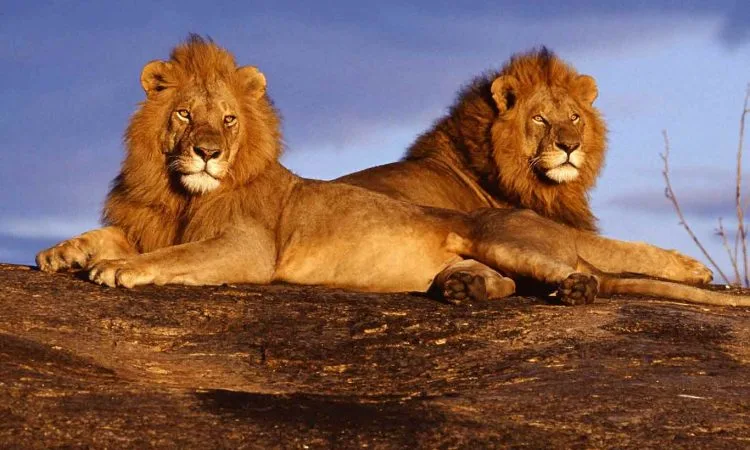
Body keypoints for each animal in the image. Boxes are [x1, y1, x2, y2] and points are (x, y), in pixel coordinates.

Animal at [35, 36, 748, 308]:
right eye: (184, 114)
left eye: (229, 120)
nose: (207, 151)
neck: (179, 192)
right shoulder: (149, 221)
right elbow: (109, 235)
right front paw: (62, 253)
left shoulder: (246, 249)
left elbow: (170, 257)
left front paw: (119, 270)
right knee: (512, 283)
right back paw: (465, 288)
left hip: (502, 234)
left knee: (587, 272)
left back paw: (574, 288)